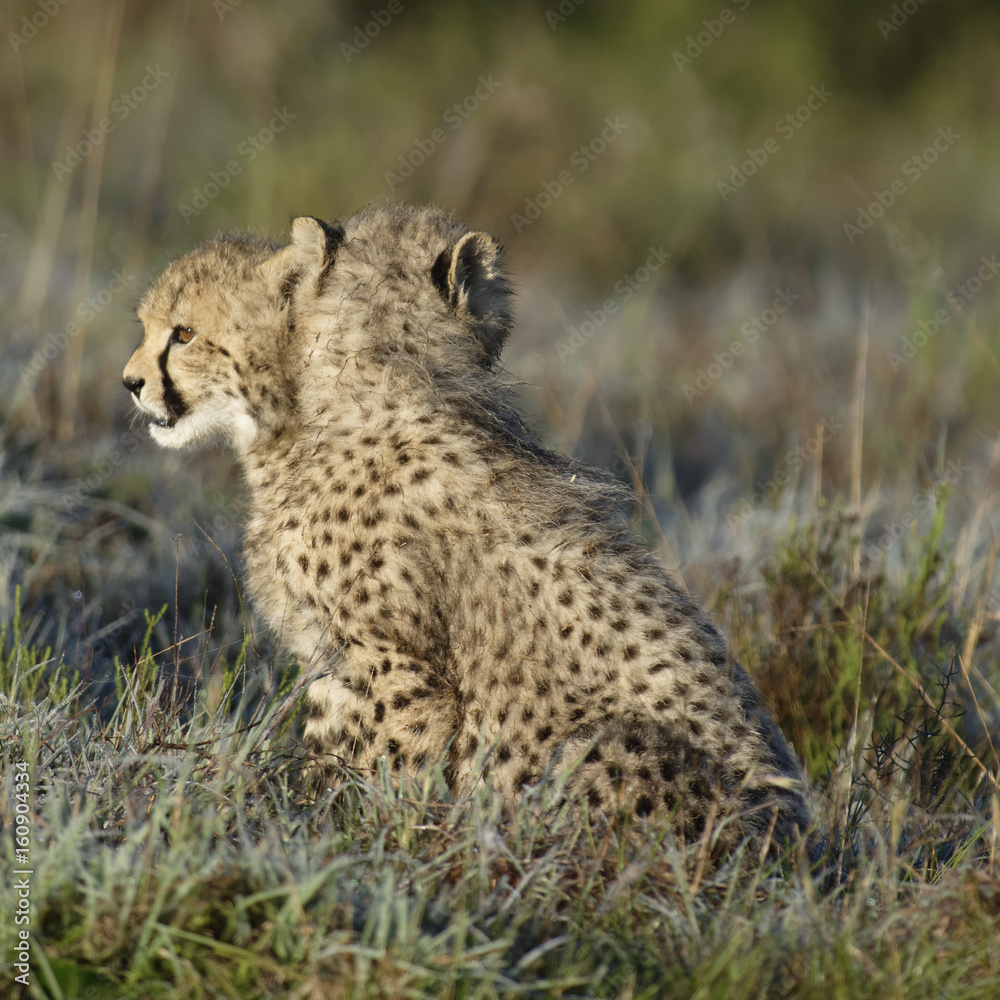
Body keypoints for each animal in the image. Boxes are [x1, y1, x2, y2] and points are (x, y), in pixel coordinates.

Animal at [123, 204, 813, 858]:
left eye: (184, 334)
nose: (130, 383)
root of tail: (801, 846)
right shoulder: (332, 661)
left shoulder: (395, 667)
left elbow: (382, 772)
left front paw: (362, 846)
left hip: (598, 749)